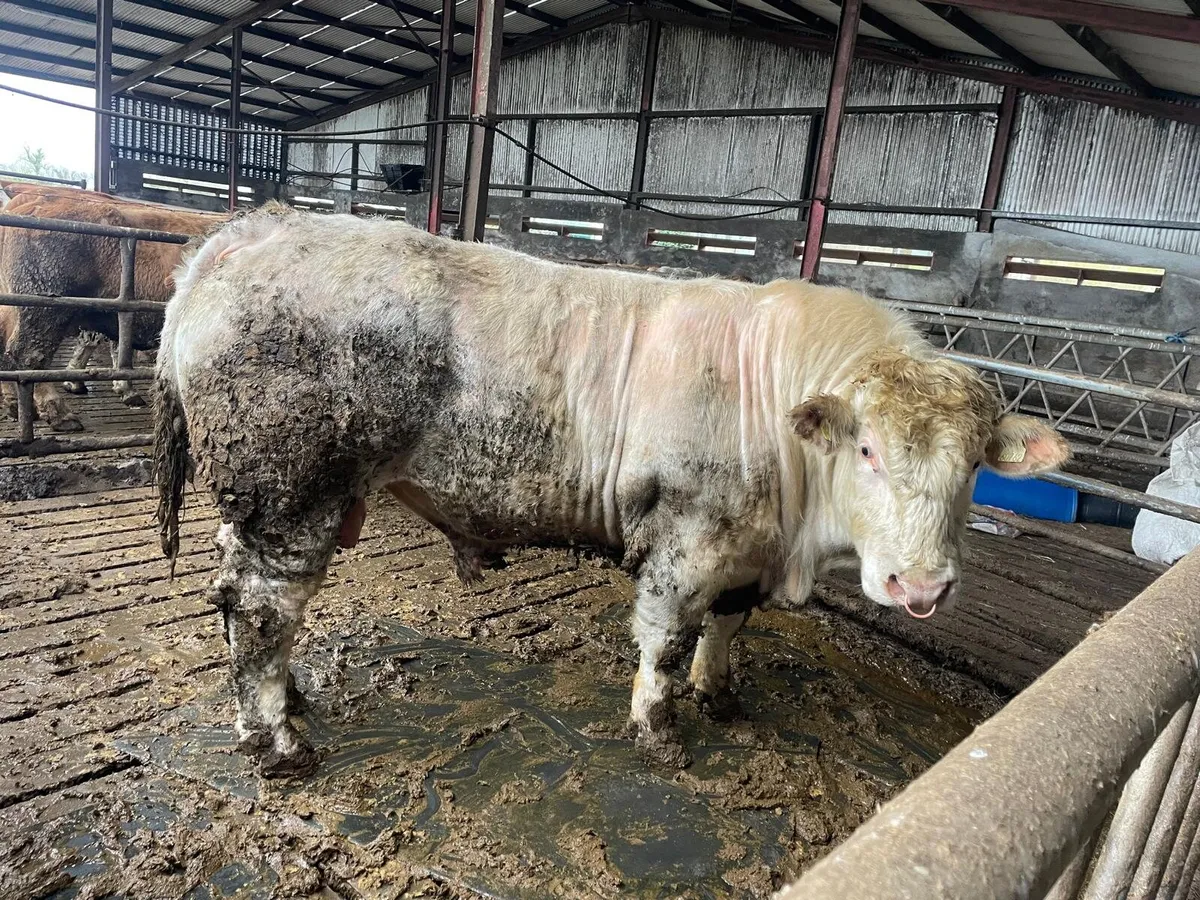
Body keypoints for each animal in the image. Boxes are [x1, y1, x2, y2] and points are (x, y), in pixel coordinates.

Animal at [154, 204, 1069, 777]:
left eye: (975, 465)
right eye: (869, 449)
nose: (922, 586)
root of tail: (255, 231)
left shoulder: (744, 551)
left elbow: (726, 629)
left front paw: (720, 697)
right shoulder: (685, 541)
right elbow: (664, 641)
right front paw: (660, 732)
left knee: (246, 609)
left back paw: (291, 698)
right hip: (289, 496)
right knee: (260, 610)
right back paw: (277, 741)